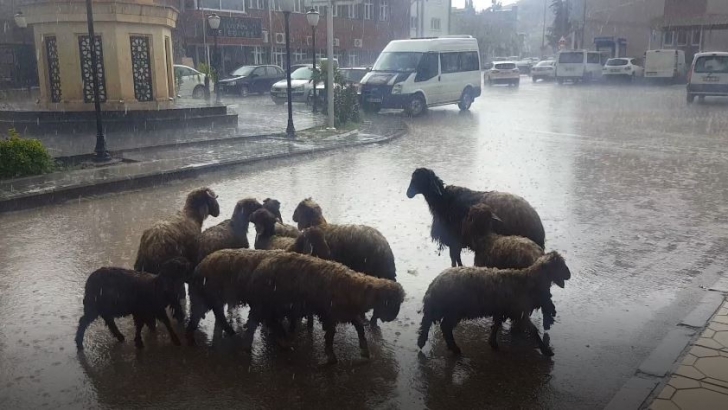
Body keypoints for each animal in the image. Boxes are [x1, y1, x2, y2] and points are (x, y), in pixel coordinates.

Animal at [243, 255, 404, 364]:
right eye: (391, 302)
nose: (391, 318)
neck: (353, 289)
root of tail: (259, 268)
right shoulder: (330, 315)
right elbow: (330, 336)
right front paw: (331, 357)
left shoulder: (347, 313)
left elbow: (360, 328)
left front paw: (365, 351)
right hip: (264, 304)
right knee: (253, 324)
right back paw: (250, 346)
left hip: (273, 306)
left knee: (272, 323)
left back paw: (283, 341)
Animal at [406, 167, 544, 268]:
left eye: (420, 179)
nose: (408, 194)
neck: (443, 200)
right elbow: (456, 259)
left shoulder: (454, 240)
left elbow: (455, 260)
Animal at [416, 250, 568, 356]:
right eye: (560, 266)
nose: (569, 275)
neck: (528, 282)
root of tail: (435, 283)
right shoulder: (519, 310)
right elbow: (533, 330)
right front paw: (546, 350)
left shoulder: (502, 309)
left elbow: (496, 325)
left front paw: (493, 343)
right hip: (452, 309)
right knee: (442, 326)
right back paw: (451, 347)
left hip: (447, 309)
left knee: (433, 323)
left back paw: (426, 342)